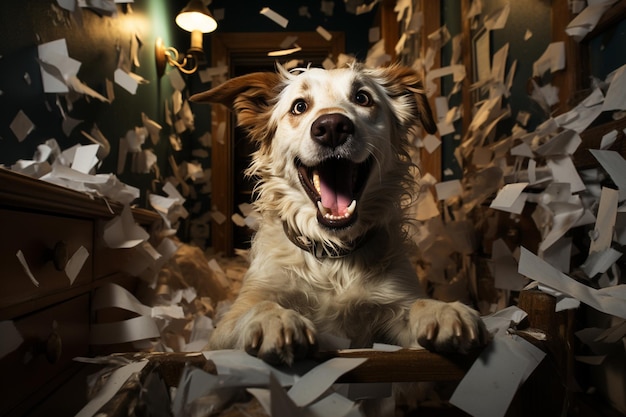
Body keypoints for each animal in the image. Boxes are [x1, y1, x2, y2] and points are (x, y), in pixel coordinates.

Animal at [190, 63, 488, 366]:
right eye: (299, 106)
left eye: (362, 98)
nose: (332, 127)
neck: (332, 255)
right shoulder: (225, 330)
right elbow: (258, 307)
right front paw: (275, 319)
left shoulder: (390, 306)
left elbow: (416, 304)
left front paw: (442, 310)